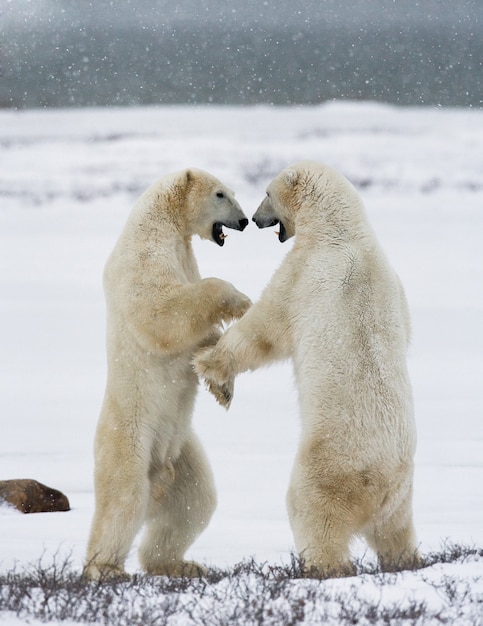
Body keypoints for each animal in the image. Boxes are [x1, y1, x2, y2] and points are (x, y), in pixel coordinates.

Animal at [83, 167, 251, 580]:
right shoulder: (146, 250)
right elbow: (162, 306)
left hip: (182, 446)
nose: (243, 221)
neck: (162, 219)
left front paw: (222, 385)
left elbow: (198, 334)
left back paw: (180, 564)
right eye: (221, 194)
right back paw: (105, 568)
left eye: (233, 191)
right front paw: (240, 300)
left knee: (194, 501)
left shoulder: (183, 251)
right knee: (123, 498)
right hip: (131, 436)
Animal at [196, 160, 420, 576]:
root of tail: (379, 486)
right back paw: (406, 561)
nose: (255, 218)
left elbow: (266, 328)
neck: (343, 230)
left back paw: (321, 567)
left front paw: (212, 369)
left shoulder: (303, 272)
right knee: (396, 530)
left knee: (312, 512)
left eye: (266, 193)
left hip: (329, 468)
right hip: (401, 493)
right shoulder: (396, 287)